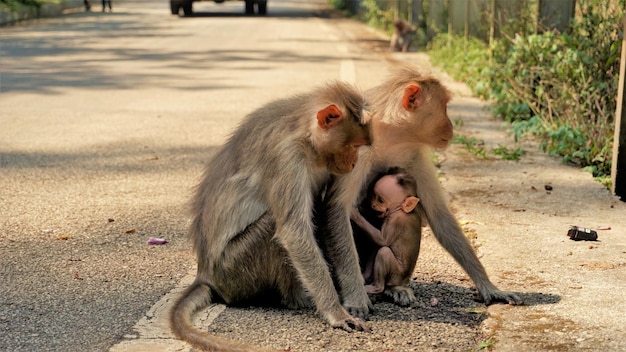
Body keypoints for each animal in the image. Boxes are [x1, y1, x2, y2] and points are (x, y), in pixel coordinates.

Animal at [348, 166, 422, 304]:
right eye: (373, 196)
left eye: (380, 200)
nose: (372, 205)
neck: (400, 209)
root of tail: (403, 282)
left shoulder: (396, 220)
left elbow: (382, 240)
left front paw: (354, 214)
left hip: (396, 275)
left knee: (384, 252)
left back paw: (376, 287)